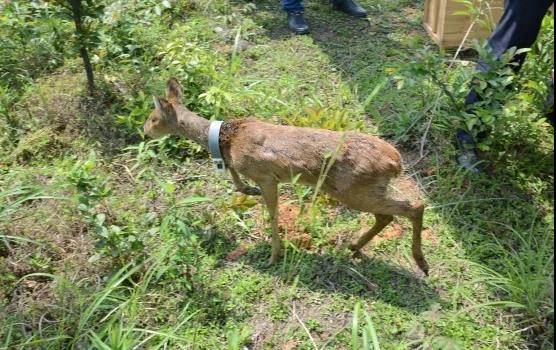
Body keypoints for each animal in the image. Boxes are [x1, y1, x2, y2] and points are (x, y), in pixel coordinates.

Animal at [143, 78, 430, 274]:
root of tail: (395, 162)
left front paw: (273, 256)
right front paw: (248, 191)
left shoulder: (266, 176)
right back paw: (355, 247)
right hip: (362, 190)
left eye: (153, 117)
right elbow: (237, 182)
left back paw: (421, 262)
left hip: (354, 190)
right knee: (387, 215)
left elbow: (273, 214)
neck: (226, 138)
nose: (144, 131)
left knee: (414, 206)